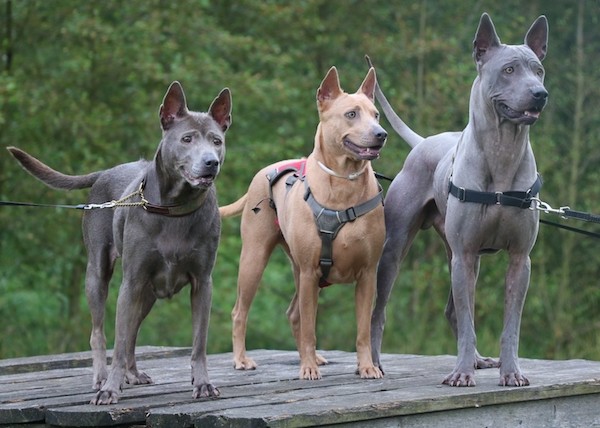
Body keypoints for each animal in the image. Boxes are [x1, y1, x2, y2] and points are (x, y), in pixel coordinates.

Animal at [7, 81, 232, 404]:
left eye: (217, 141)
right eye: (187, 139)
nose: (210, 162)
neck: (174, 208)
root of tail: (105, 172)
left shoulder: (203, 283)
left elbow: (198, 341)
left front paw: (202, 384)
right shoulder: (131, 281)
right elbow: (119, 338)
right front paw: (110, 388)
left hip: (147, 292)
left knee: (133, 335)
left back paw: (132, 374)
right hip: (99, 275)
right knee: (101, 332)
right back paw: (102, 378)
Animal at [223, 67, 386, 382]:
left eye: (376, 115)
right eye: (351, 114)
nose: (380, 134)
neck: (343, 184)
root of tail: (263, 172)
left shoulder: (367, 274)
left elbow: (362, 330)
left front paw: (367, 366)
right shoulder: (311, 272)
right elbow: (311, 327)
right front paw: (308, 368)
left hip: (298, 271)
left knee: (293, 314)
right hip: (255, 259)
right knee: (240, 311)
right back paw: (242, 359)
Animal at [368, 13, 548, 386]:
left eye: (538, 70)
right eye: (509, 70)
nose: (540, 94)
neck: (503, 152)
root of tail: (424, 141)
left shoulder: (519, 260)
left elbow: (510, 326)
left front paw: (511, 372)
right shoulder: (463, 256)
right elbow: (468, 320)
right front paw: (461, 374)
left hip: (463, 257)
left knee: (453, 310)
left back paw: (478, 359)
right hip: (395, 249)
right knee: (380, 311)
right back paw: (375, 363)